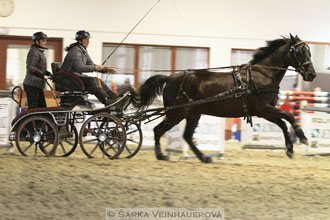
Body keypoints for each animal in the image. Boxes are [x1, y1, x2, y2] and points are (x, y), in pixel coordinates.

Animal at [136, 34, 314, 162]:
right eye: (300, 52)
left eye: (309, 52)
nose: (312, 74)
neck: (263, 75)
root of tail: (170, 78)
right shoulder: (263, 109)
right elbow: (289, 116)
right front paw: (303, 138)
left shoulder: (264, 112)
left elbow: (283, 123)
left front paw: (290, 149)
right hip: (176, 113)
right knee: (158, 130)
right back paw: (161, 155)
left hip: (193, 113)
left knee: (186, 135)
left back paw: (204, 157)